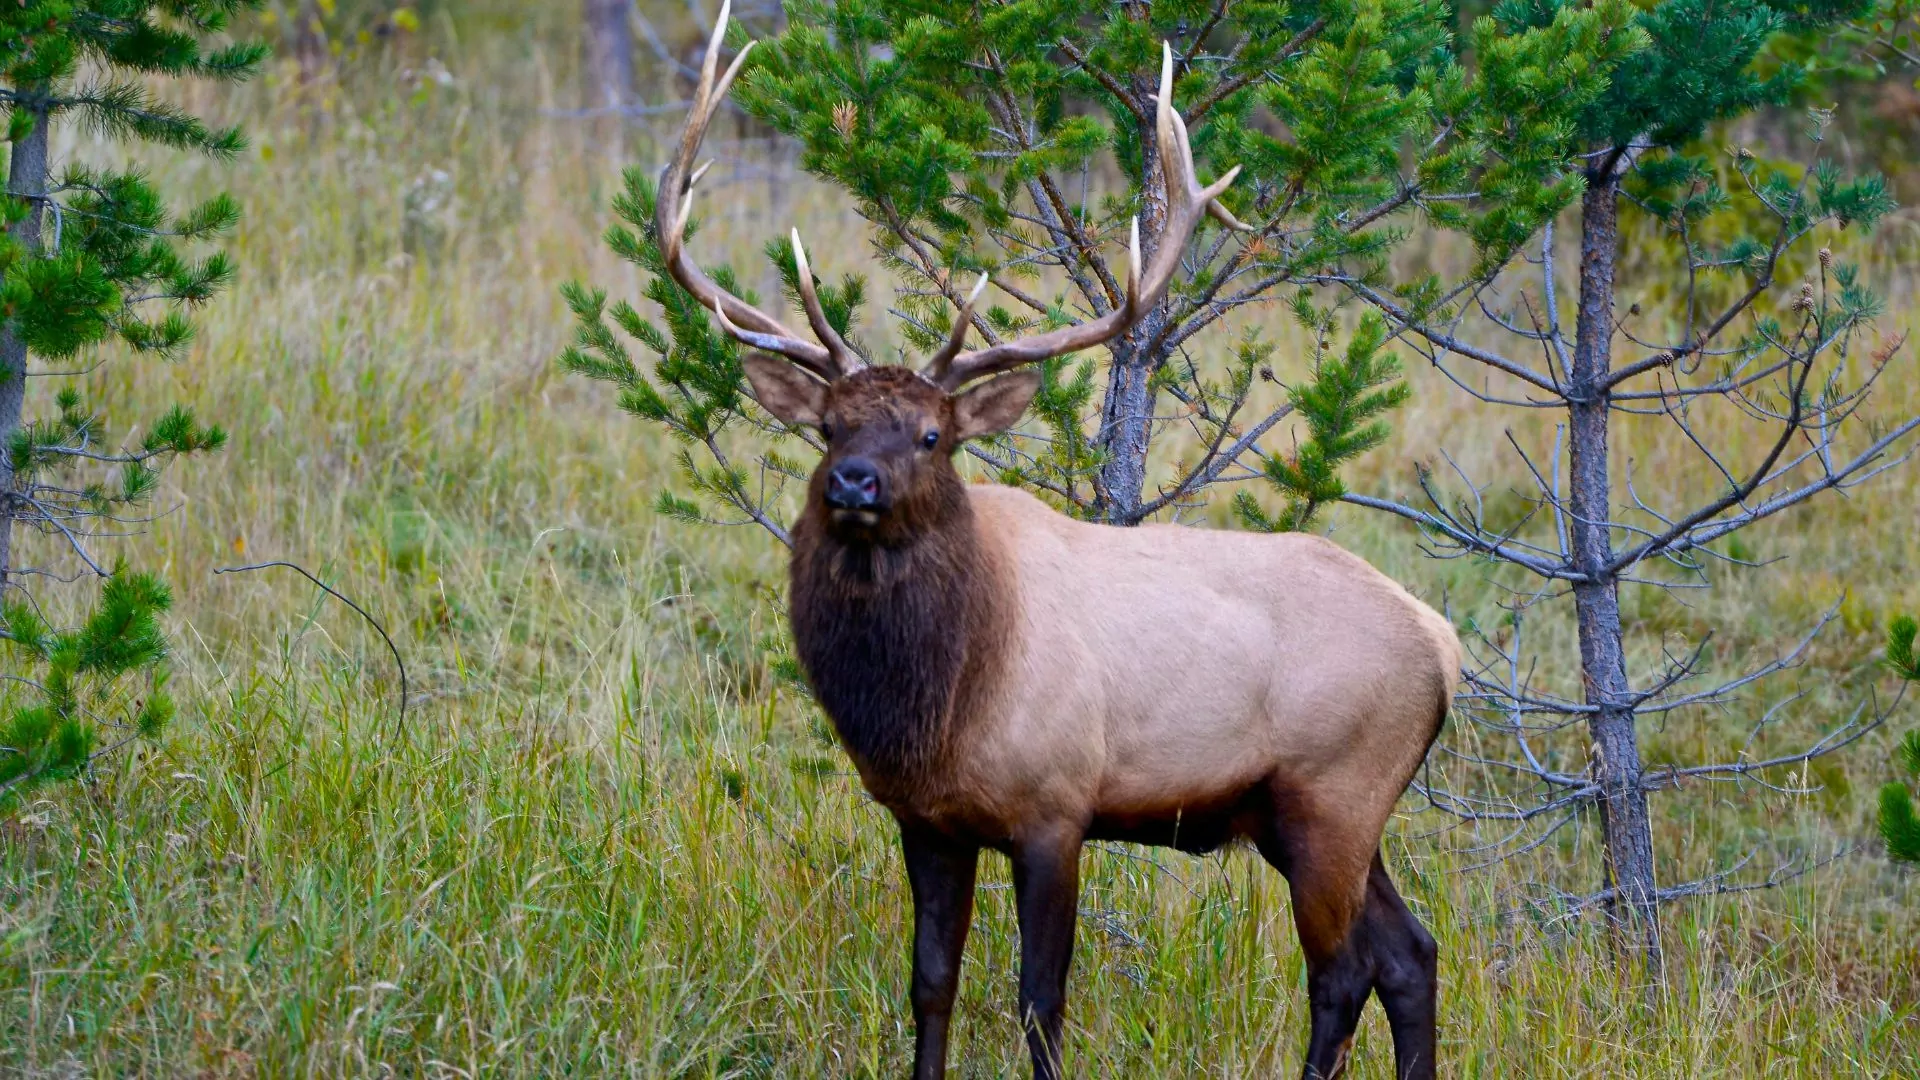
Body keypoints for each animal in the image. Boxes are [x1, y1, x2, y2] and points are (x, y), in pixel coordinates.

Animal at [649, 7, 1462, 1078]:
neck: (938, 703)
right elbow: (931, 985)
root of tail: (1445, 649)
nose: (853, 482)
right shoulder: (929, 821)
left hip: (1336, 788)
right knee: (1412, 953)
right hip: (1308, 814)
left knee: (1344, 973)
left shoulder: (1057, 807)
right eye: (828, 425)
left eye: (933, 435)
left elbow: (1040, 1003)